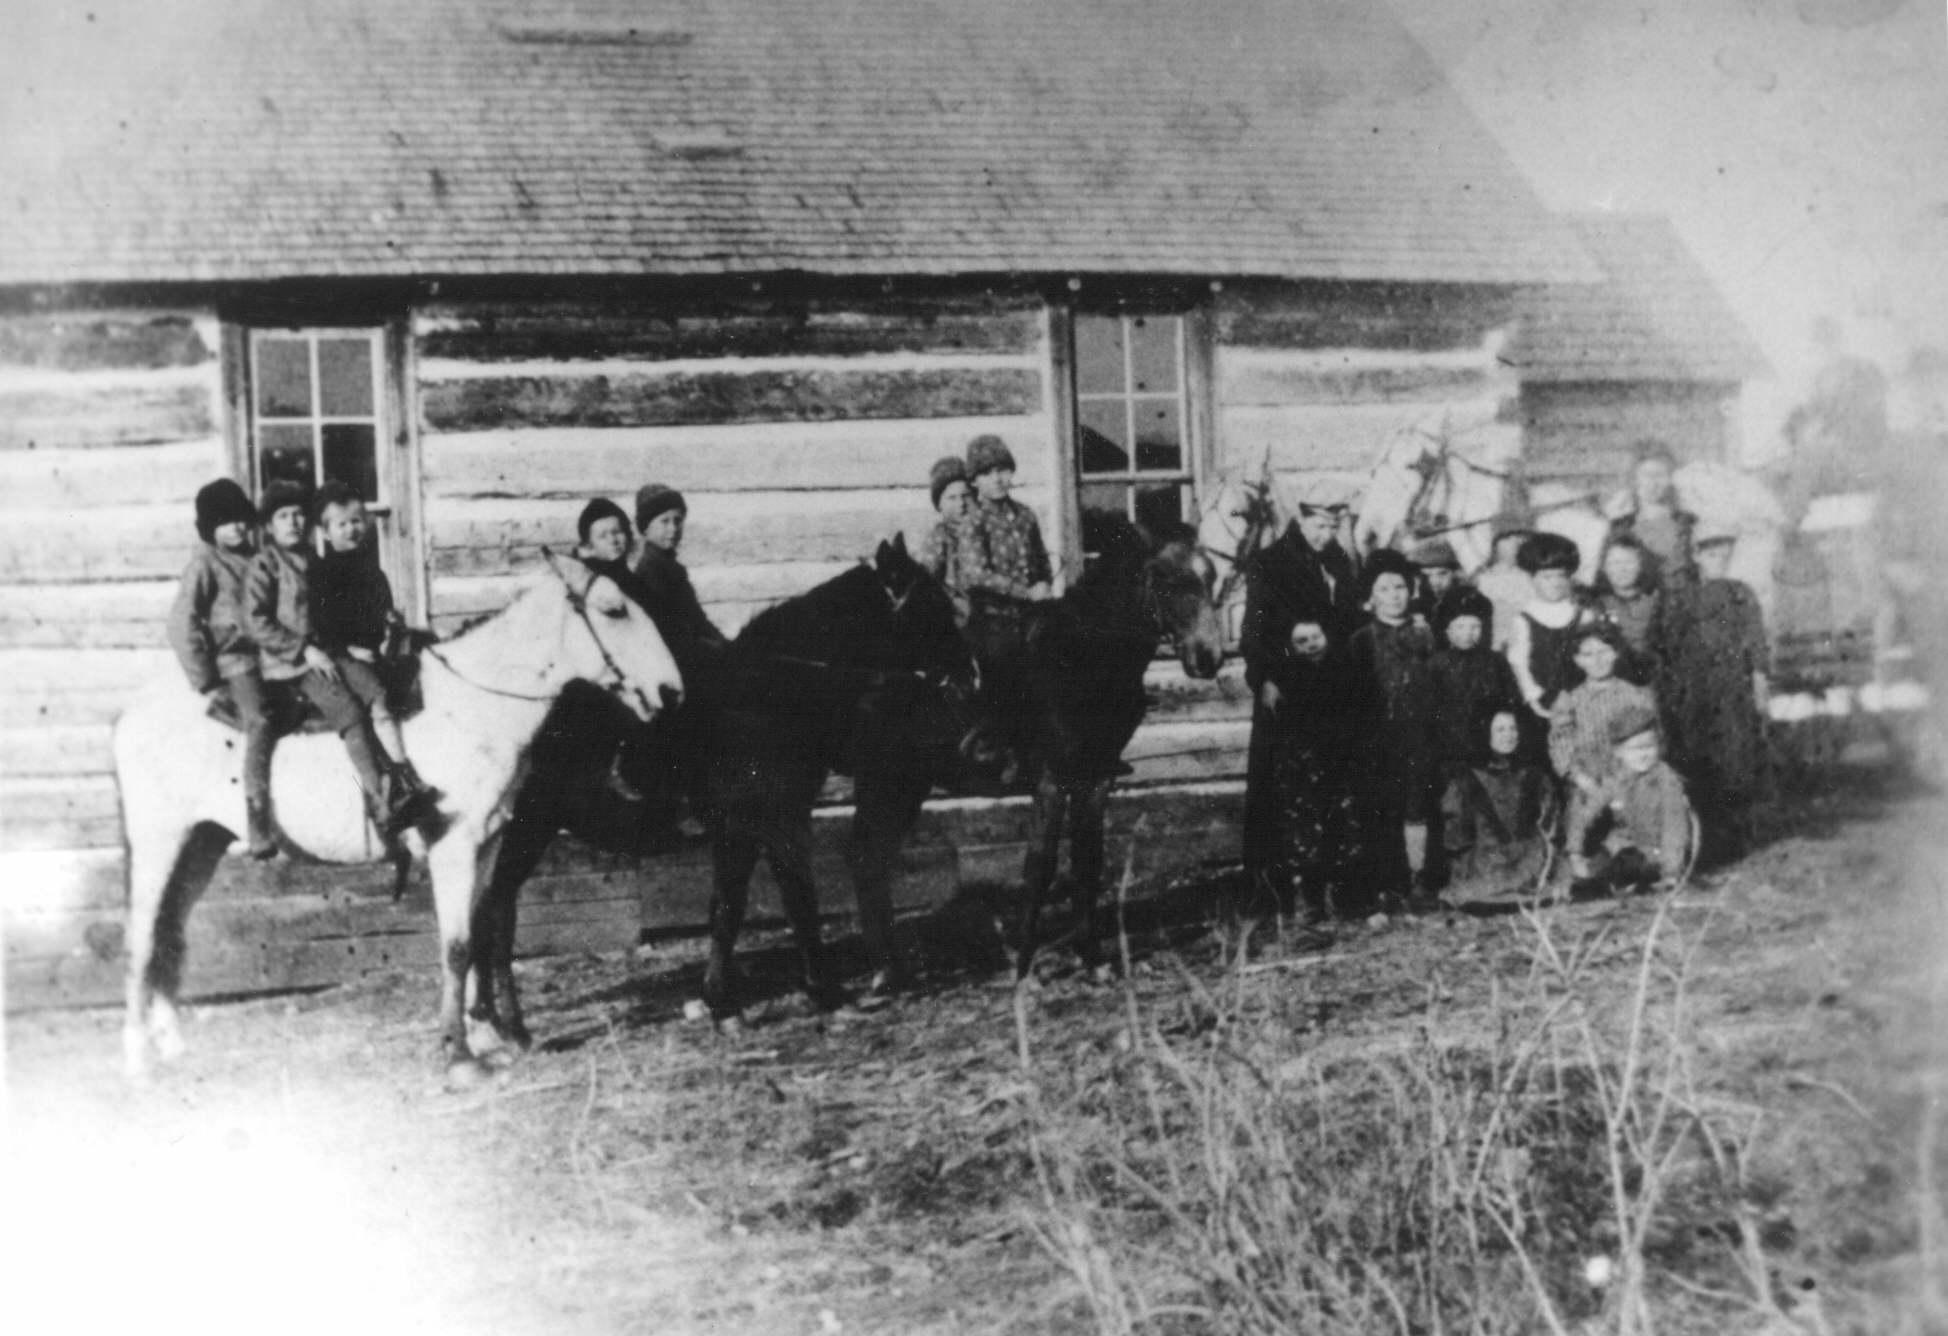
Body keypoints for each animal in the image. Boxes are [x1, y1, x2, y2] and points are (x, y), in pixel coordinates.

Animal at [113, 553, 681, 1090]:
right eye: (614, 609)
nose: (671, 692)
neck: (474, 705)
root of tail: (129, 714)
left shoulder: (489, 843)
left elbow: (478, 932)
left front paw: (486, 1038)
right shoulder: (455, 847)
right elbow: (456, 947)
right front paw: (458, 1056)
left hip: (201, 844)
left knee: (169, 931)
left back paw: (172, 1047)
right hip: (160, 842)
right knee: (141, 938)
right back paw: (138, 1059)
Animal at [457, 537, 974, 1043]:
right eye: (931, 603)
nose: (971, 676)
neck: (768, 697)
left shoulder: (751, 829)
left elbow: (744, 906)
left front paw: (734, 1001)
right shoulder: (767, 825)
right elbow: (782, 901)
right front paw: (810, 994)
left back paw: (494, 1021)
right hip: (523, 830)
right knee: (492, 911)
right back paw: (503, 1024)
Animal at [1012, 518, 1223, 977]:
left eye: (1212, 576)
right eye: (1167, 579)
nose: (1208, 657)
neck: (1080, 655)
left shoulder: (1095, 779)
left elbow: (1087, 861)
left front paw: (1092, 958)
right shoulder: (1053, 780)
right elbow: (1040, 867)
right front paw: (1022, 970)